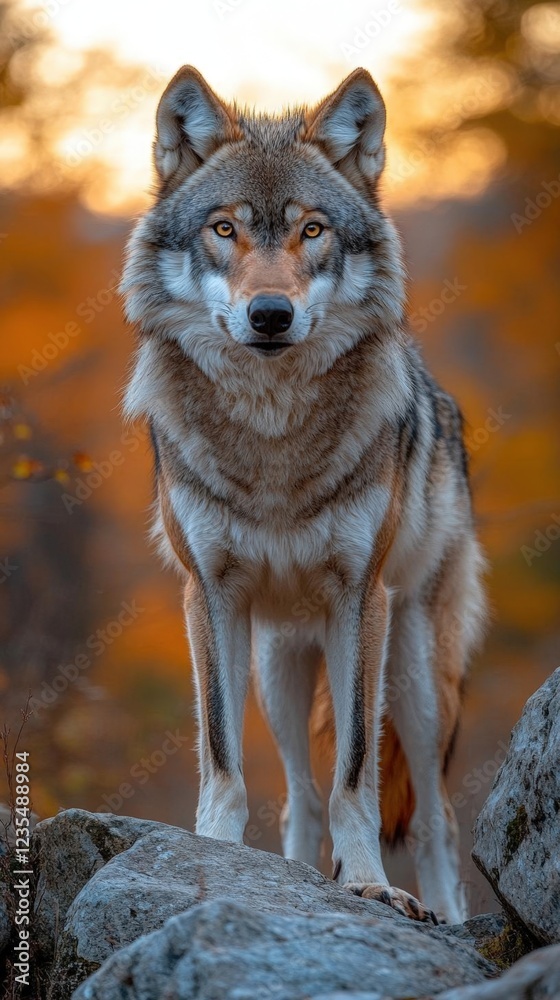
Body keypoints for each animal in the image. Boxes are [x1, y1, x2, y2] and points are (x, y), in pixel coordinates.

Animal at [121, 66, 487, 924]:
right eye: (224, 229)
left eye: (313, 231)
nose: (270, 314)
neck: (273, 436)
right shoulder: (210, 596)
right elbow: (224, 759)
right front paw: (215, 860)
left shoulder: (360, 598)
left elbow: (356, 771)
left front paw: (368, 884)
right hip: (278, 668)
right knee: (299, 797)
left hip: (417, 675)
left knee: (436, 816)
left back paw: (446, 913)